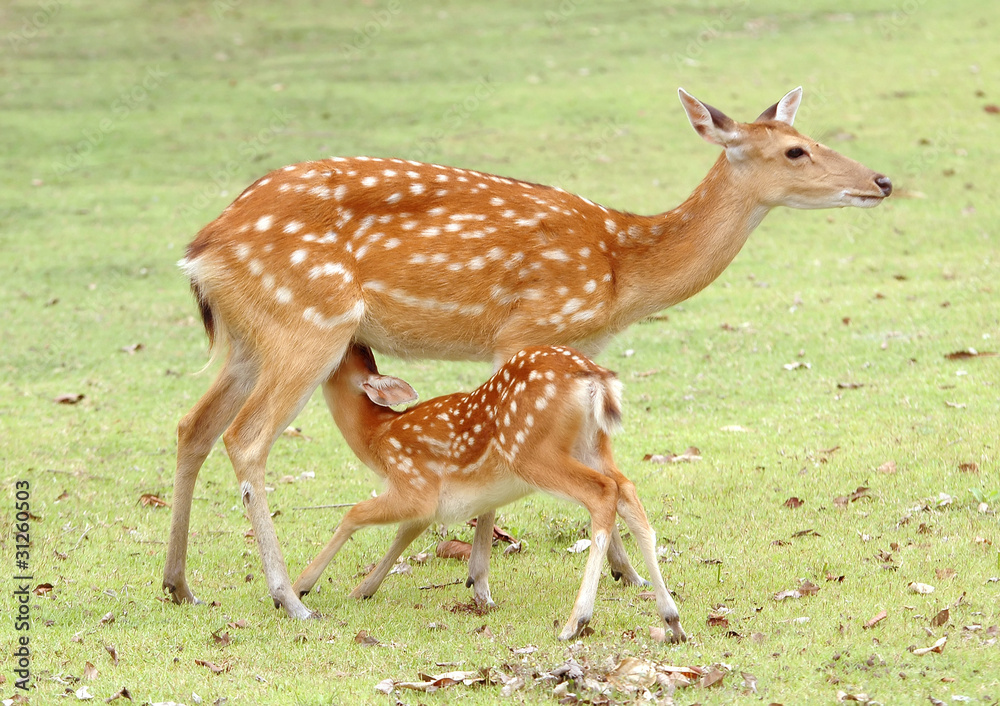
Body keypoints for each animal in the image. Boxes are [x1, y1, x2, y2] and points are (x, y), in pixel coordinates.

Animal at [292, 344, 688, 640]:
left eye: (344, 356)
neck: (378, 438)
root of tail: (595, 378)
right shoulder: (427, 502)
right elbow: (406, 532)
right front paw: (363, 589)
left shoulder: (414, 483)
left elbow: (353, 513)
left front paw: (301, 586)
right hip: (593, 445)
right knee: (627, 489)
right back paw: (671, 619)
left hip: (531, 451)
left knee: (603, 493)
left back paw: (576, 622)